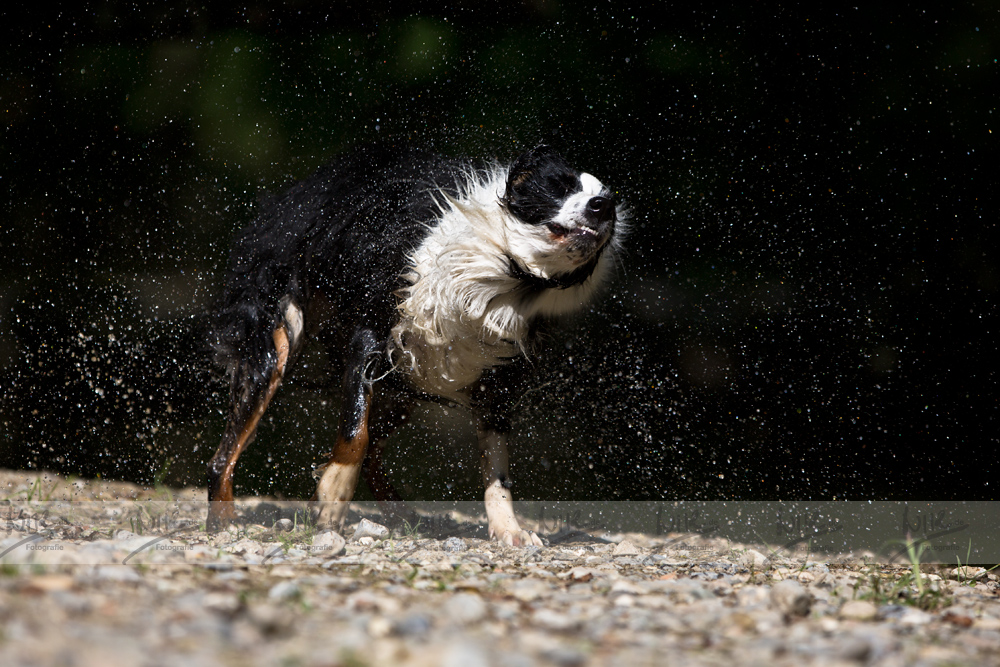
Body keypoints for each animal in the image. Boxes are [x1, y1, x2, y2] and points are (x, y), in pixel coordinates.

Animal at [206, 144, 620, 544]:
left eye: (607, 198)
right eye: (559, 185)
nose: (603, 206)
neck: (504, 275)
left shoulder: (497, 380)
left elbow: (497, 471)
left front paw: (510, 530)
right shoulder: (371, 333)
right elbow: (355, 433)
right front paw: (330, 499)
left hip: (404, 385)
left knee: (374, 452)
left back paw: (400, 513)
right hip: (280, 342)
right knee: (224, 454)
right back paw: (223, 520)